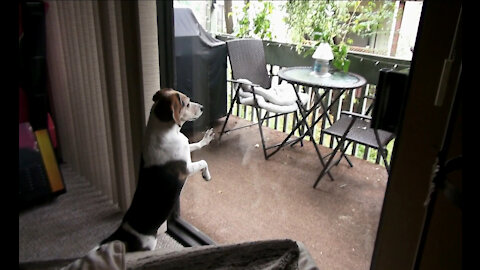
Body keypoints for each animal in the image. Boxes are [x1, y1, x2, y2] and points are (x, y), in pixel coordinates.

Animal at [99, 88, 214, 251]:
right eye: (186, 103)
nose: (203, 108)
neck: (165, 130)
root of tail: (123, 233)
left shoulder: (186, 150)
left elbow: (196, 144)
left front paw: (206, 139)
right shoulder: (186, 168)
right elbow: (203, 162)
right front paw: (206, 175)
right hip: (148, 244)